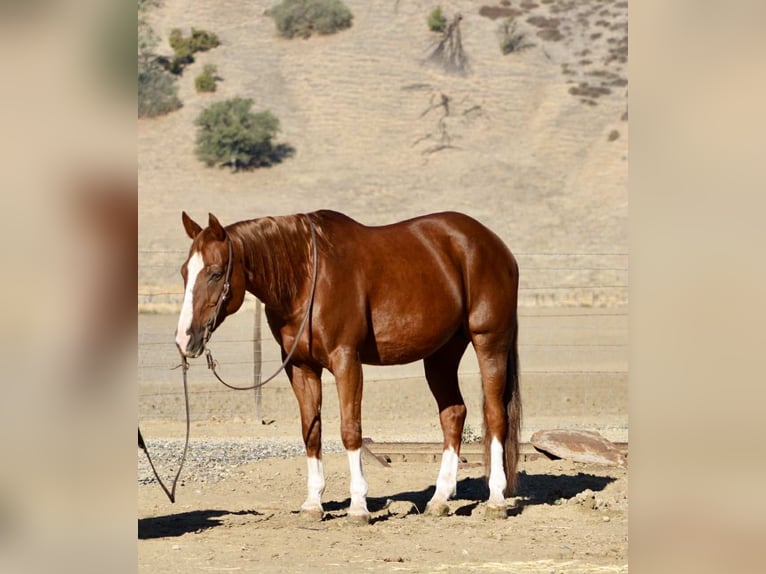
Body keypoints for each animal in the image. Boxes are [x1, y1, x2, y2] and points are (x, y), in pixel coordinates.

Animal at [175, 210, 521, 522]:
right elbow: (311, 432)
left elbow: (350, 430)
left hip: (489, 343)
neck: (307, 277)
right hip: (441, 354)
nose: (184, 338)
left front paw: (358, 507)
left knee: (495, 416)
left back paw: (496, 501)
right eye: (184, 272)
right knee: (453, 415)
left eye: (215, 273)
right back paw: (439, 499)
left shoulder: (346, 360)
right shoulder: (301, 367)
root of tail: (496, 246)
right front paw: (313, 504)